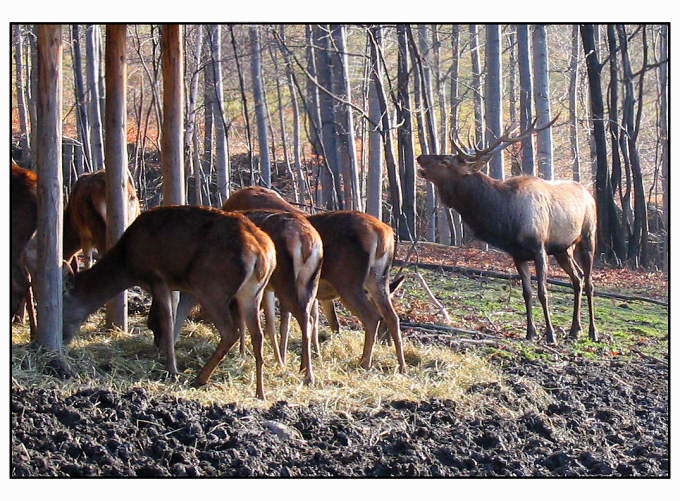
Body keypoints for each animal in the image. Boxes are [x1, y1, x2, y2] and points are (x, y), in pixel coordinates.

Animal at [61, 204, 276, 398]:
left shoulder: (157, 277)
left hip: (211, 286)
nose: (62, 339)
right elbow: (171, 319)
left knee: (231, 332)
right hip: (252, 292)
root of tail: (263, 254)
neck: (128, 264)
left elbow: (166, 320)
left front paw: (171, 368)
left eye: (64, 305)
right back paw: (260, 392)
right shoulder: (179, 285)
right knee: (257, 335)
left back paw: (201, 377)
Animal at [223, 187, 406, 372]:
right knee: (390, 317)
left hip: (347, 282)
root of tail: (383, 235)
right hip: (373, 279)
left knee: (372, 317)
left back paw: (365, 362)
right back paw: (400, 365)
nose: (385, 342)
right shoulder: (318, 291)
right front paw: (314, 355)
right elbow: (320, 320)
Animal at [418, 117, 596, 344]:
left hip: (587, 237)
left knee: (589, 281)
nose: (420, 157)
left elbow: (543, 292)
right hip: (563, 249)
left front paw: (550, 334)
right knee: (578, 278)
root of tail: (589, 194)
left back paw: (592, 331)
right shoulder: (517, 254)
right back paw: (574, 330)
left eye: (445, 162)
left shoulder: (539, 248)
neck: (506, 219)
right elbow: (527, 292)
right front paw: (530, 333)